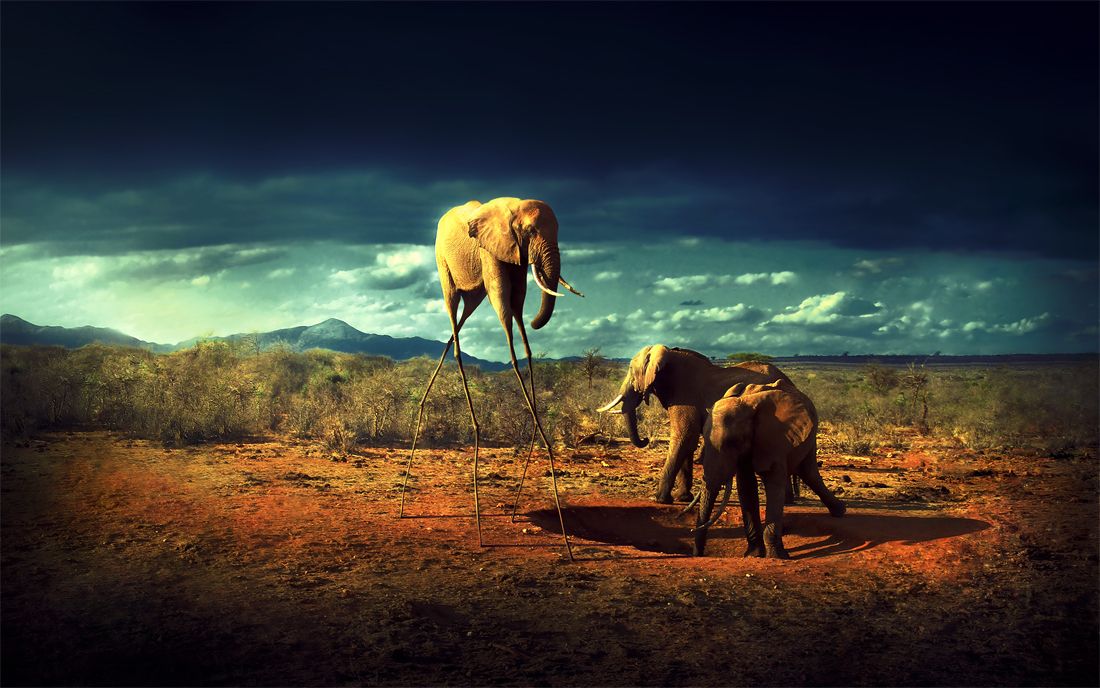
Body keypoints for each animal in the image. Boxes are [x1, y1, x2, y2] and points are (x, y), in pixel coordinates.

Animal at [399, 197, 584, 559]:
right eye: (530, 230)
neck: (513, 207)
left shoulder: (514, 259)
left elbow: (522, 327)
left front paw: (540, 436)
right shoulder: (492, 252)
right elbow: (508, 324)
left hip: (471, 289)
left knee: (457, 328)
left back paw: (425, 404)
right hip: (443, 263)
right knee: (455, 321)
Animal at [597, 345, 797, 504]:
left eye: (631, 369)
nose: (645, 439)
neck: (668, 354)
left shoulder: (685, 395)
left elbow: (685, 436)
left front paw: (659, 499)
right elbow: (687, 440)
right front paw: (682, 498)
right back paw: (788, 501)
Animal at [692, 383, 847, 559]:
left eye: (732, 442)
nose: (699, 554)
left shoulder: (774, 440)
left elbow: (773, 483)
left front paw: (777, 556)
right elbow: (746, 487)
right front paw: (753, 554)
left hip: (809, 437)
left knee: (809, 472)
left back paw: (840, 511)